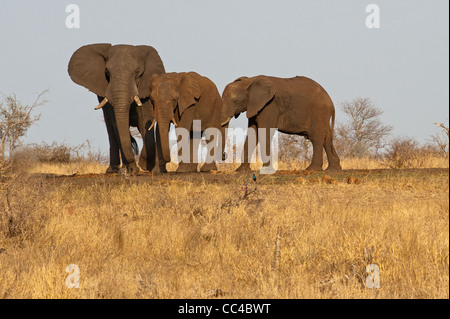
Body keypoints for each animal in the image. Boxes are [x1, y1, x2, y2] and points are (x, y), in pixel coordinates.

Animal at [68, 43, 169, 174]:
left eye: (137, 72)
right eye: (107, 72)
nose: (136, 162)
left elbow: (145, 120)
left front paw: (144, 165)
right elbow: (116, 123)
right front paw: (132, 169)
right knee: (111, 129)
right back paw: (113, 170)